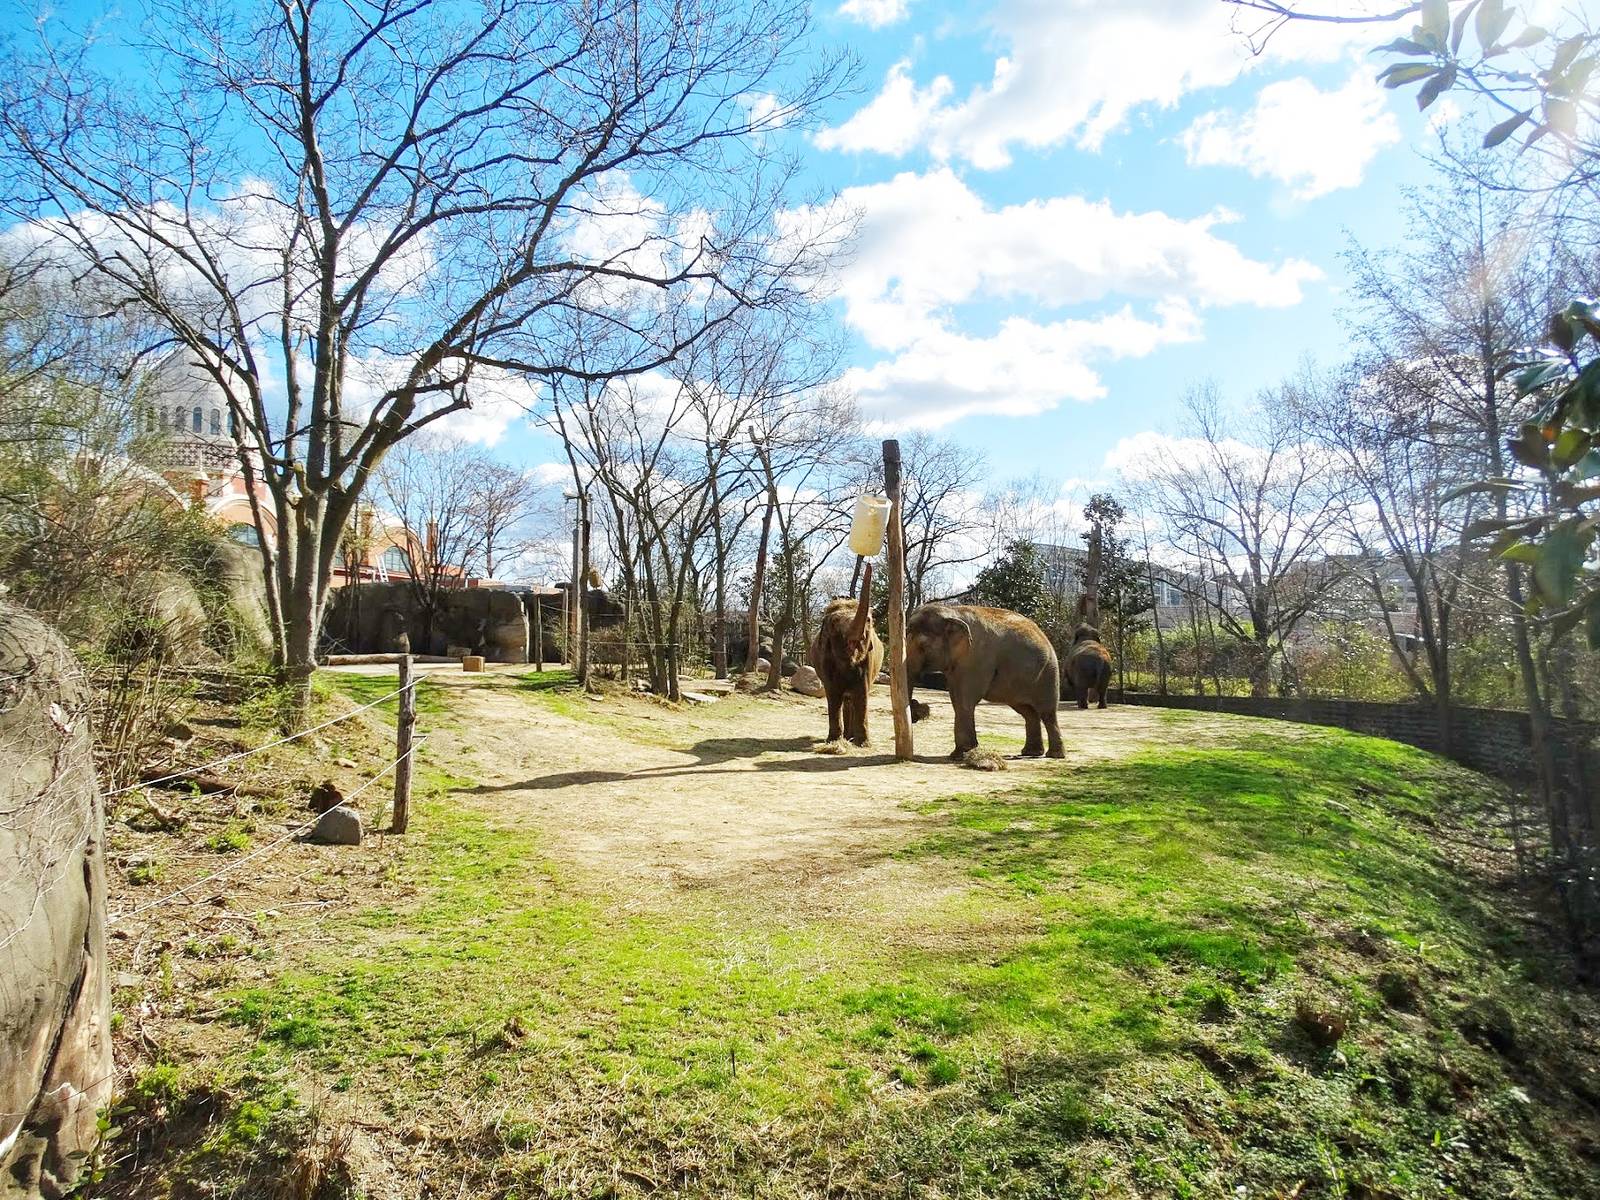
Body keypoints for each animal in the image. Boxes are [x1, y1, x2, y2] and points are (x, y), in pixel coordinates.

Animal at [807, 562, 885, 745]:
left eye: (869, 620)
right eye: (835, 623)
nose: (869, 563)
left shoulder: (867, 663)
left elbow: (862, 694)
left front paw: (862, 744)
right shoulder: (825, 660)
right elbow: (833, 695)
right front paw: (833, 741)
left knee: (851, 699)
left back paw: (851, 737)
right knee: (845, 699)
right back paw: (846, 737)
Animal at [905, 603, 1064, 759]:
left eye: (923, 646)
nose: (915, 710)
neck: (952, 611)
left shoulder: (977, 657)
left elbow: (965, 699)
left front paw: (961, 754)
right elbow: (956, 698)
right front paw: (960, 753)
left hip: (1048, 673)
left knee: (1047, 713)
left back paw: (1054, 755)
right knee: (1027, 712)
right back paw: (1031, 753)